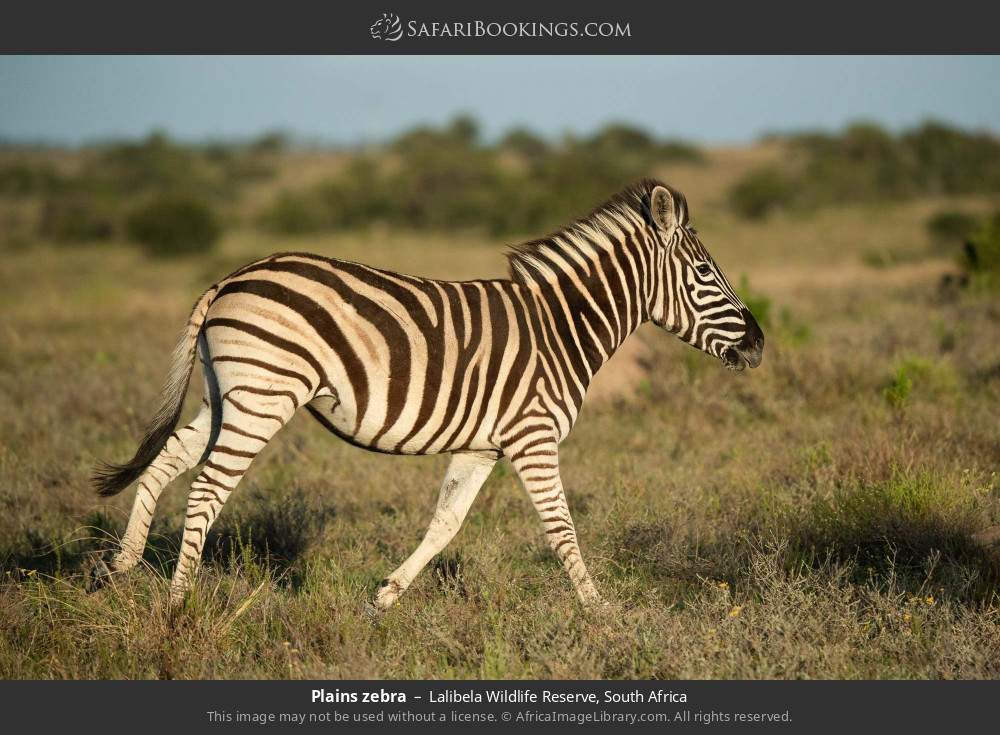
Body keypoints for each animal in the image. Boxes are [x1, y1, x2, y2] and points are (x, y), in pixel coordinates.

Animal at [88, 179, 764, 609]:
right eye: (705, 275)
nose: (759, 344)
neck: (563, 327)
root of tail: (231, 276)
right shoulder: (533, 436)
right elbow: (561, 529)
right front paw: (603, 616)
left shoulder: (484, 444)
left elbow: (445, 524)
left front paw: (385, 598)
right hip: (264, 394)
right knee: (205, 488)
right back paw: (179, 604)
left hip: (224, 394)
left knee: (164, 464)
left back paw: (121, 573)